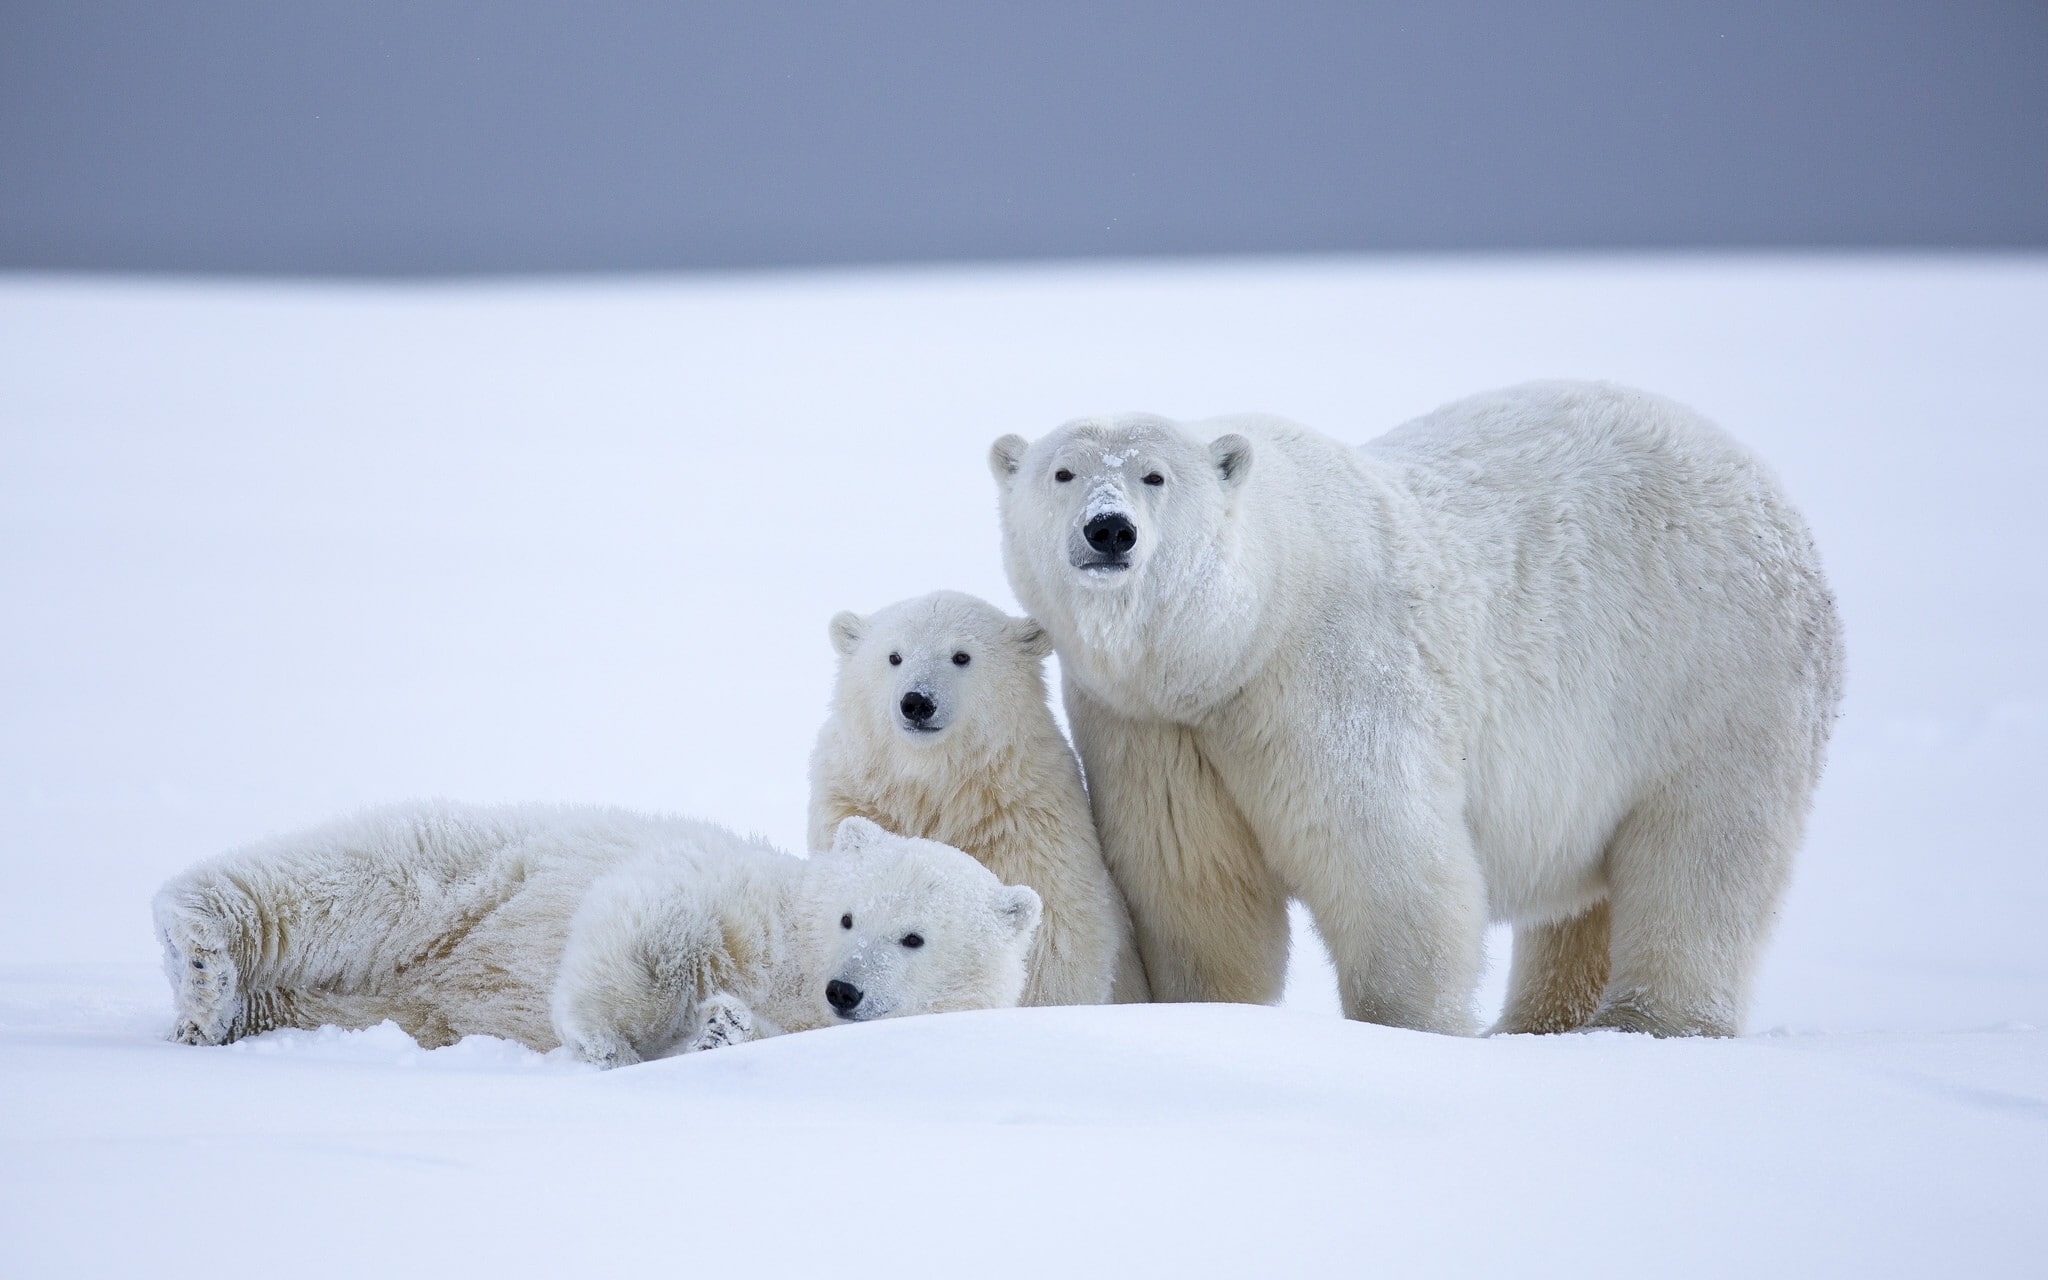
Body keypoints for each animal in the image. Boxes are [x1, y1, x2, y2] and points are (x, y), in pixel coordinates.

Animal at [152, 803, 1041, 1065]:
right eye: (852, 915)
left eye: (915, 938)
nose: (845, 988)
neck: (794, 963)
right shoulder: (741, 893)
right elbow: (656, 913)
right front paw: (606, 1038)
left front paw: (720, 1028)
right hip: (463, 873)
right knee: (344, 878)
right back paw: (198, 953)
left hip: (379, 1001)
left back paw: (221, 1010)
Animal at [809, 590, 1150, 1007]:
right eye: (894, 656)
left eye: (961, 655)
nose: (917, 702)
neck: (936, 787)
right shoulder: (854, 798)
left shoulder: (1025, 823)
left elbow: (1054, 943)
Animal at [990, 380, 1843, 1038]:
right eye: (1062, 472)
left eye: (1156, 476)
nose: (1109, 530)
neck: (1236, 638)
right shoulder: (1152, 725)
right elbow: (1195, 887)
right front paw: (1208, 1010)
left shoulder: (1329, 670)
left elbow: (1386, 860)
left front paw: (1412, 1030)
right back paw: (1539, 1023)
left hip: (1716, 675)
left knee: (1704, 854)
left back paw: (1649, 1022)